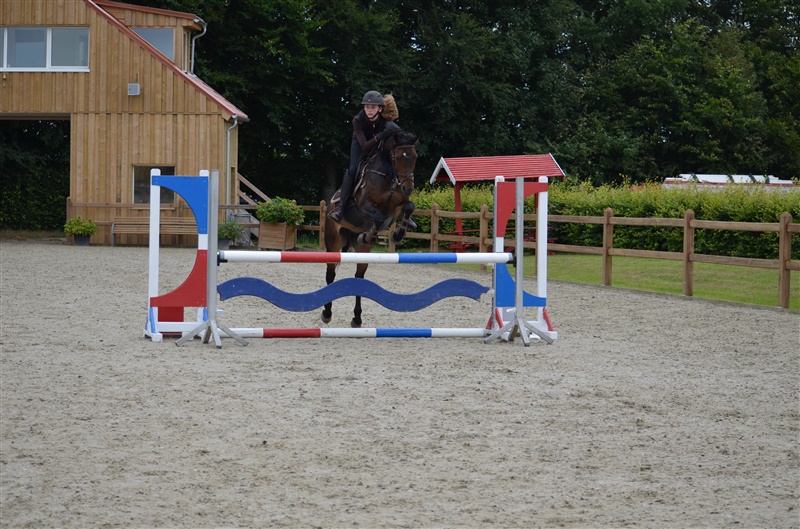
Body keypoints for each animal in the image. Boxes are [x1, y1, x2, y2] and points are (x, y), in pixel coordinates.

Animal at [322, 129, 419, 327]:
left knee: (359, 278)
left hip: (362, 252)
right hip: (333, 241)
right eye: (398, 157)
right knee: (330, 273)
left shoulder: (396, 209)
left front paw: (398, 234)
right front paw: (368, 234)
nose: (408, 188)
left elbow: (409, 207)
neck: (389, 175)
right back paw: (326, 313)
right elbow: (378, 218)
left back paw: (357, 318)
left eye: (415, 157)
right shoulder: (364, 206)